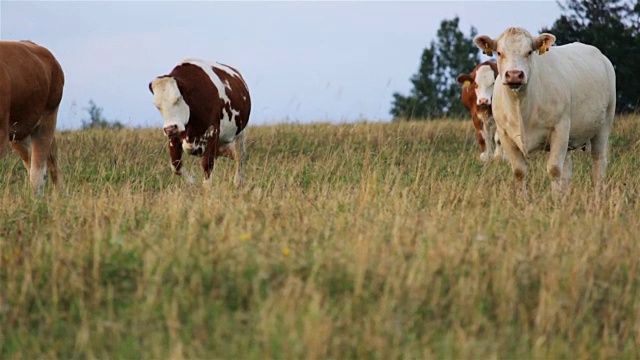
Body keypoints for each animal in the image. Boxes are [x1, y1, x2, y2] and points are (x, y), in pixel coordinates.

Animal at [149, 58, 250, 186]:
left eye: (177, 98)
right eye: (157, 105)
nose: (170, 128)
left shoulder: (213, 132)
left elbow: (207, 165)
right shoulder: (174, 137)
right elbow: (176, 166)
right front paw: (192, 182)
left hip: (240, 135)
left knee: (239, 158)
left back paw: (237, 182)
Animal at [476, 27, 616, 197]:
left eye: (529, 51)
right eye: (499, 52)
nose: (514, 75)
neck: (521, 106)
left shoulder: (559, 129)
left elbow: (554, 169)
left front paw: (555, 199)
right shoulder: (505, 135)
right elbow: (519, 171)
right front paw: (523, 198)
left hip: (604, 123)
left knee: (598, 161)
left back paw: (597, 195)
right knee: (567, 169)